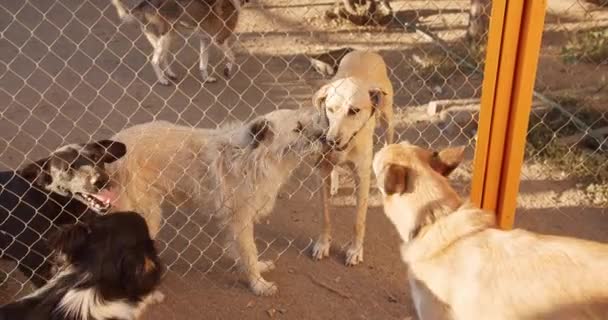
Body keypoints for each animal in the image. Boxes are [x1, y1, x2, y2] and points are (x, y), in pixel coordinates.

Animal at [107, 109, 330, 296]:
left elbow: (242, 252)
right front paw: (258, 284)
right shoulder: (241, 221)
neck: (255, 158)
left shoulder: (234, 223)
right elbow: (250, 252)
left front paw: (256, 268)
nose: (325, 137)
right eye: (298, 128)